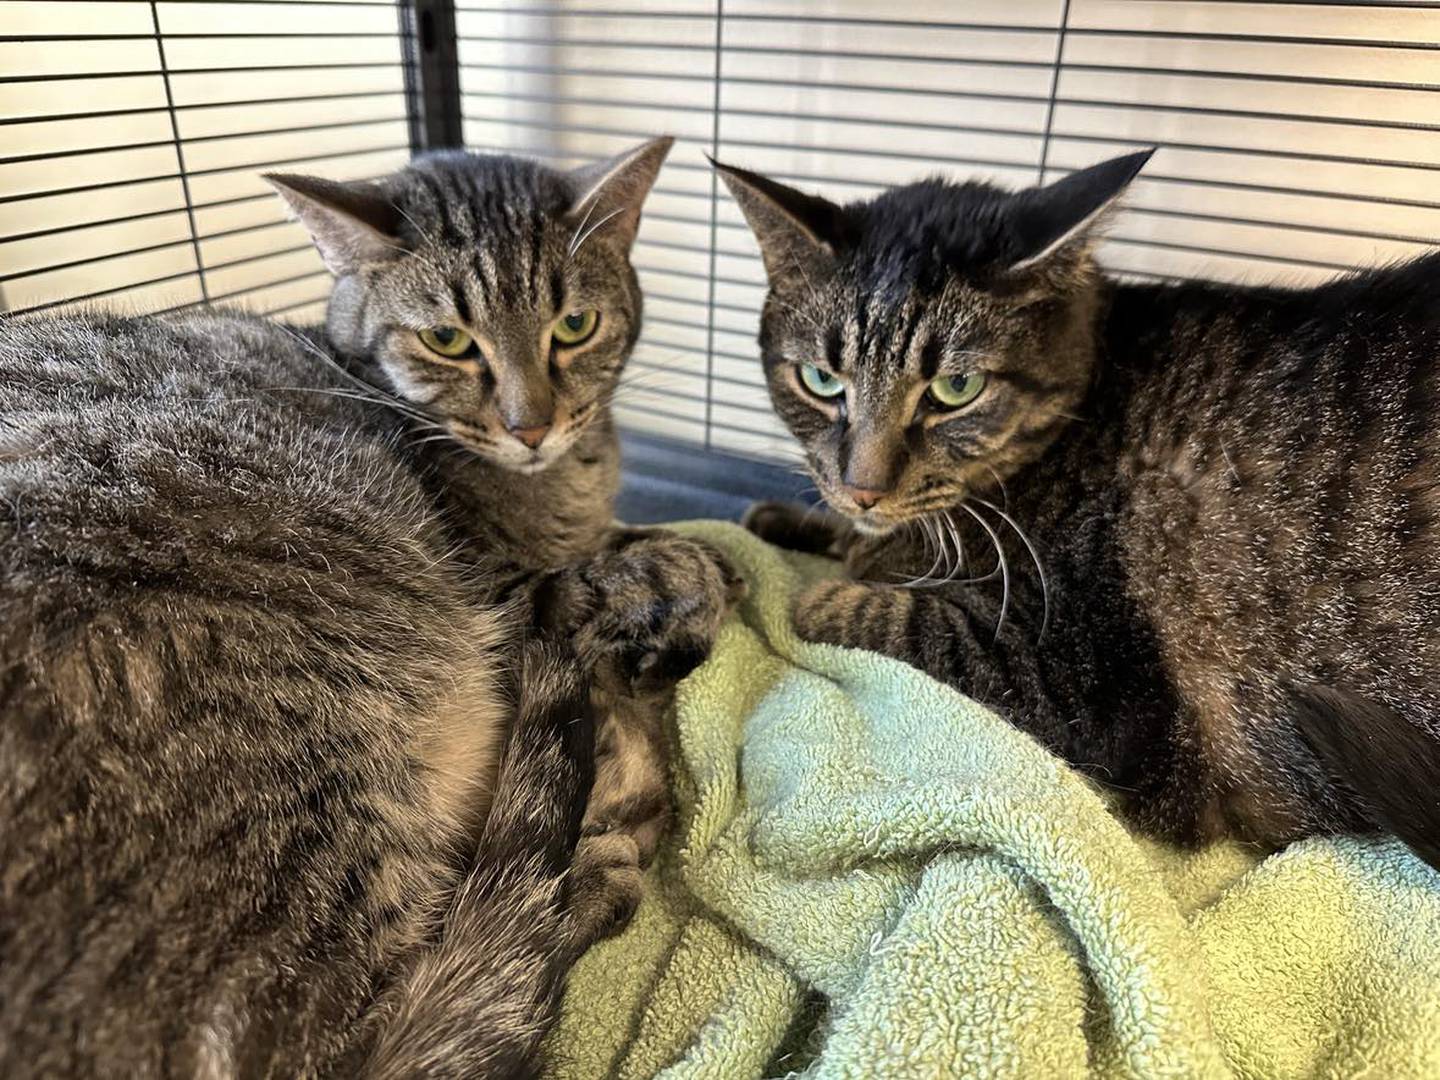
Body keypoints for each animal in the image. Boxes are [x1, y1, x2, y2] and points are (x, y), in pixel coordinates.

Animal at [714, 150, 1440, 869]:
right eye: (820, 380)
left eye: (957, 388)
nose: (863, 486)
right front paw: (798, 522)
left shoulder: (1076, 674)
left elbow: (892, 616)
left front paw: (821, 589)